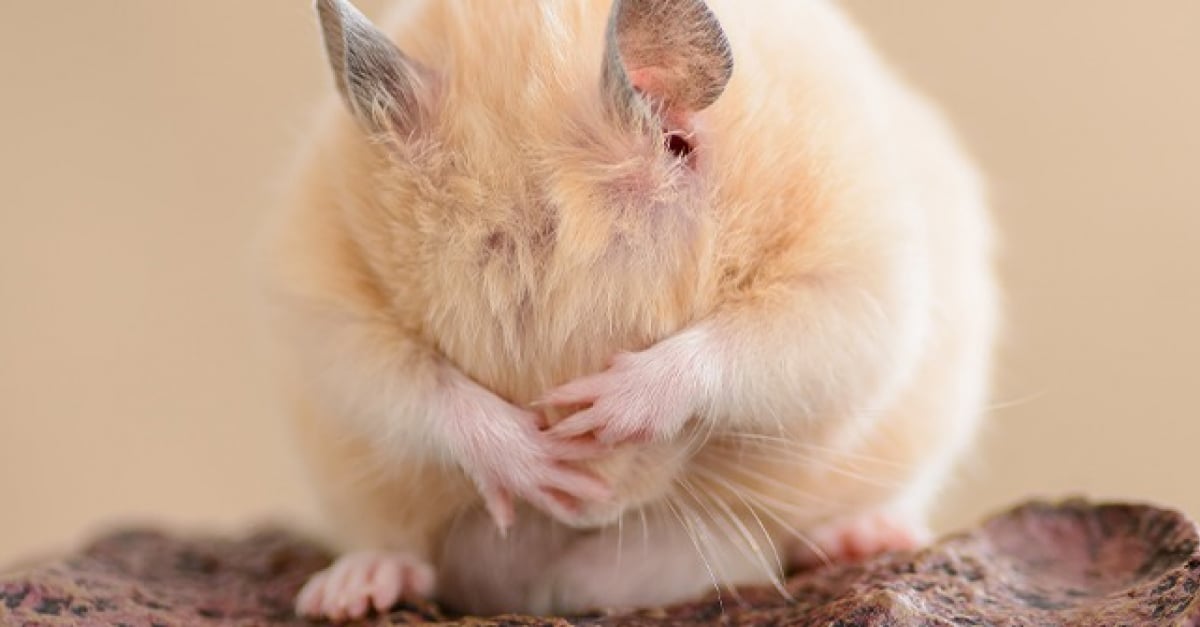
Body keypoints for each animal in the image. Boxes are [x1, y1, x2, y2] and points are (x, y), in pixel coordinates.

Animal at [266, 0, 997, 620]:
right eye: (458, 347)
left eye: (641, 335)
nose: (582, 510)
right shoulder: (329, 300)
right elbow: (416, 384)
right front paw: (537, 462)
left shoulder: (855, 276)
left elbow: (744, 343)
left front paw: (607, 405)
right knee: (398, 541)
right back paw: (353, 588)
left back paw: (863, 534)